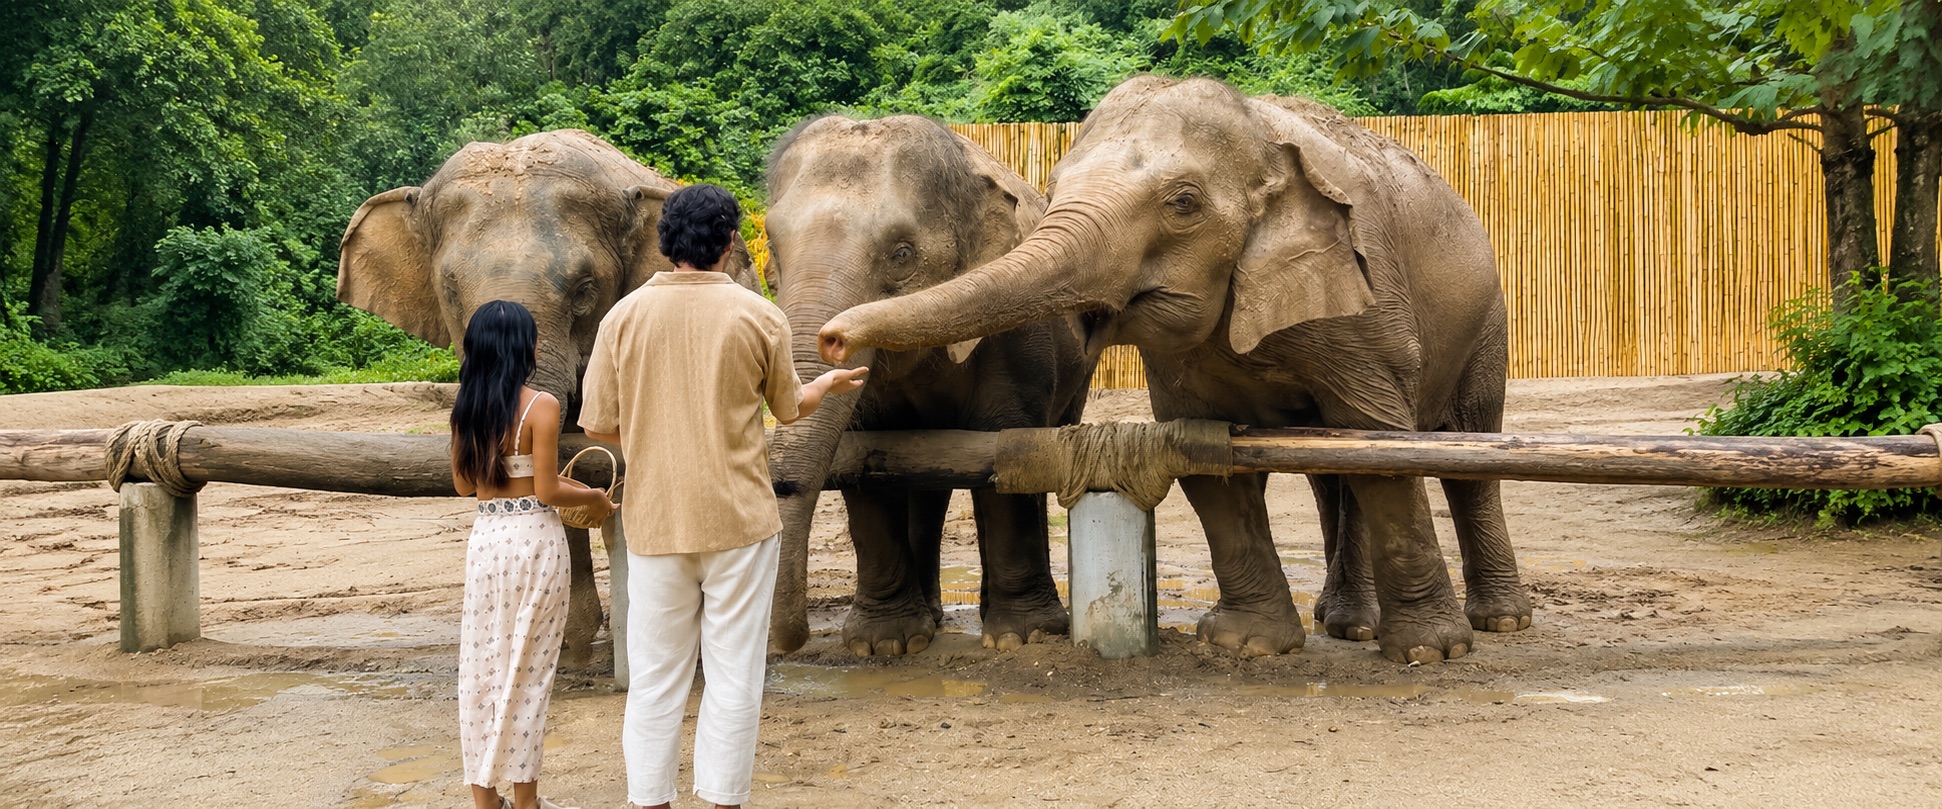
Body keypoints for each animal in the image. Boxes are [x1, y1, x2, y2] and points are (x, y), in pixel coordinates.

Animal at [762, 114, 1093, 655]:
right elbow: (861, 456)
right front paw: (882, 645)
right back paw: (930, 622)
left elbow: (1005, 443)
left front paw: (1020, 638)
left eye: (902, 254)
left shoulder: (1018, 332)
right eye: (772, 247)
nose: (788, 642)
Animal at [819, 76, 1532, 664]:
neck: (1263, 136)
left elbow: (1382, 447)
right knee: (1335, 476)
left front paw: (1430, 653)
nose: (833, 339)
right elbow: (1204, 457)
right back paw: (1348, 623)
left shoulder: (1366, 296)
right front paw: (1248, 645)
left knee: (1465, 453)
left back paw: (1497, 622)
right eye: (1051, 191)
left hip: (1487, 321)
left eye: (1183, 204)